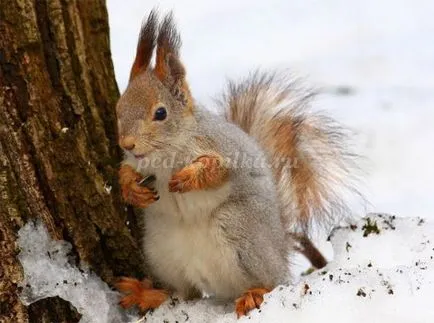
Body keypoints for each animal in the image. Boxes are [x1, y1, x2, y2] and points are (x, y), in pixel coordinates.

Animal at [113, 10, 362, 318]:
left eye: (161, 113)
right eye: (118, 109)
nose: (128, 144)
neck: (165, 156)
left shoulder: (227, 151)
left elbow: (218, 169)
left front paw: (189, 177)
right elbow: (126, 170)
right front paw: (131, 188)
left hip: (240, 231)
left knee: (271, 282)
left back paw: (255, 294)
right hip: (161, 250)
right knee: (183, 293)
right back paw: (149, 294)